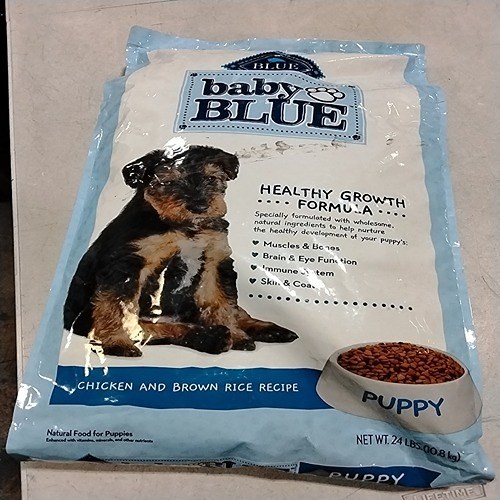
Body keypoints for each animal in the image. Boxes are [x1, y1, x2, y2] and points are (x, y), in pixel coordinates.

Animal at [63, 144, 298, 356]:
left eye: (210, 179)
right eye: (167, 182)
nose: (199, 207)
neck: (183, 227)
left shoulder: (215, 261)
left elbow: (221, 303)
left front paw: (237, 335)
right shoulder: (127, 264)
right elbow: (115, 306)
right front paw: (116, 343)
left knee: (236, 311)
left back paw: (268, 330)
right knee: (156, 328)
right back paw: (212, 337)